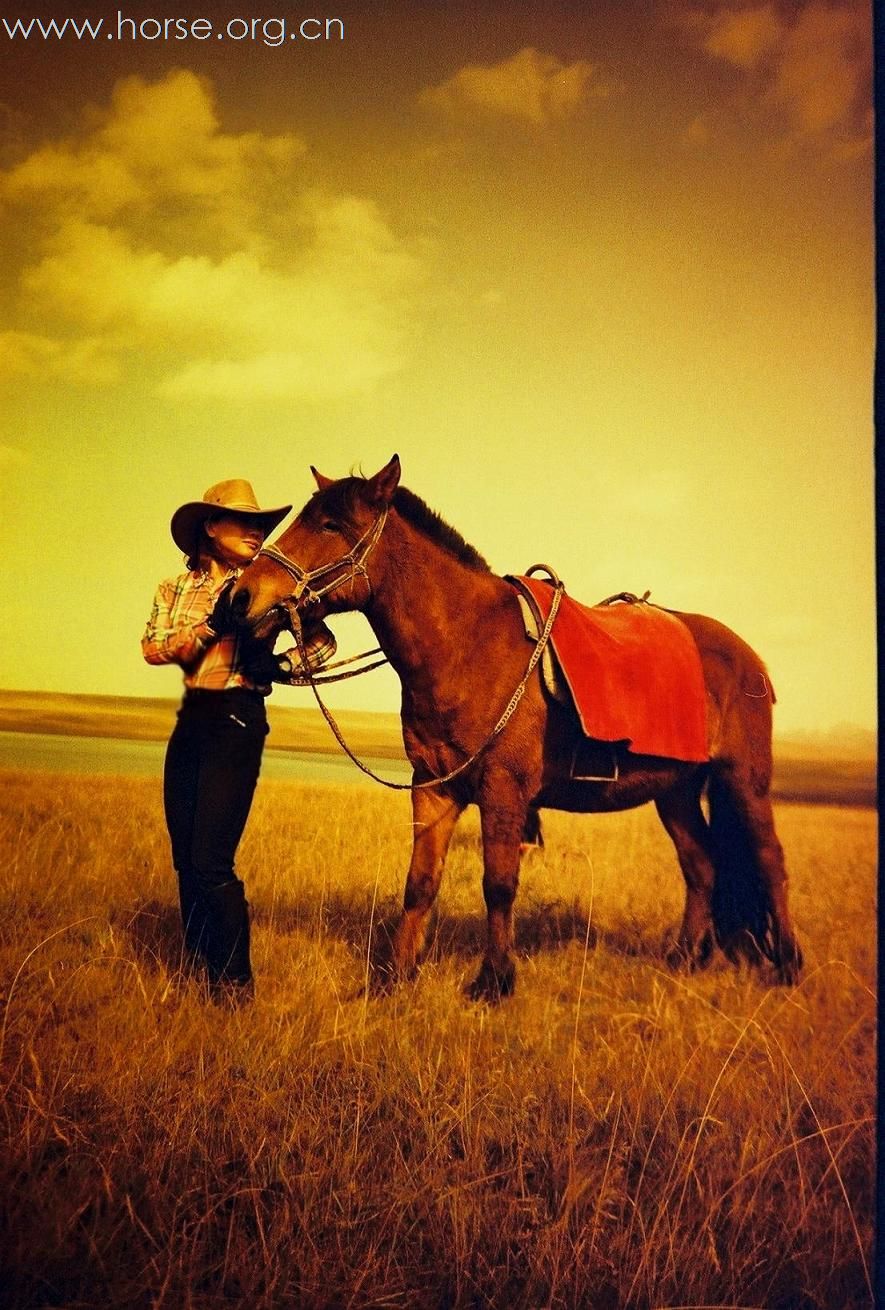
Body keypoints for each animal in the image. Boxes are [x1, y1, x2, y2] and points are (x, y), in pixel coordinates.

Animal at [227, 455, 801, 995]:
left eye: (330, 525)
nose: (242, 597)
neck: (468, 645)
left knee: (770, 861)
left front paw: (493, 981)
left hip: (743, 781)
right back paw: (684, 959)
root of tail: (750, 659)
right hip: (675, 790)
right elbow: (420, 882)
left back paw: (788, 966)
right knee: (701, 865)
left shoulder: (503, 791)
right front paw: (394, 977)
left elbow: (498, 884)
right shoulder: (433, 789)